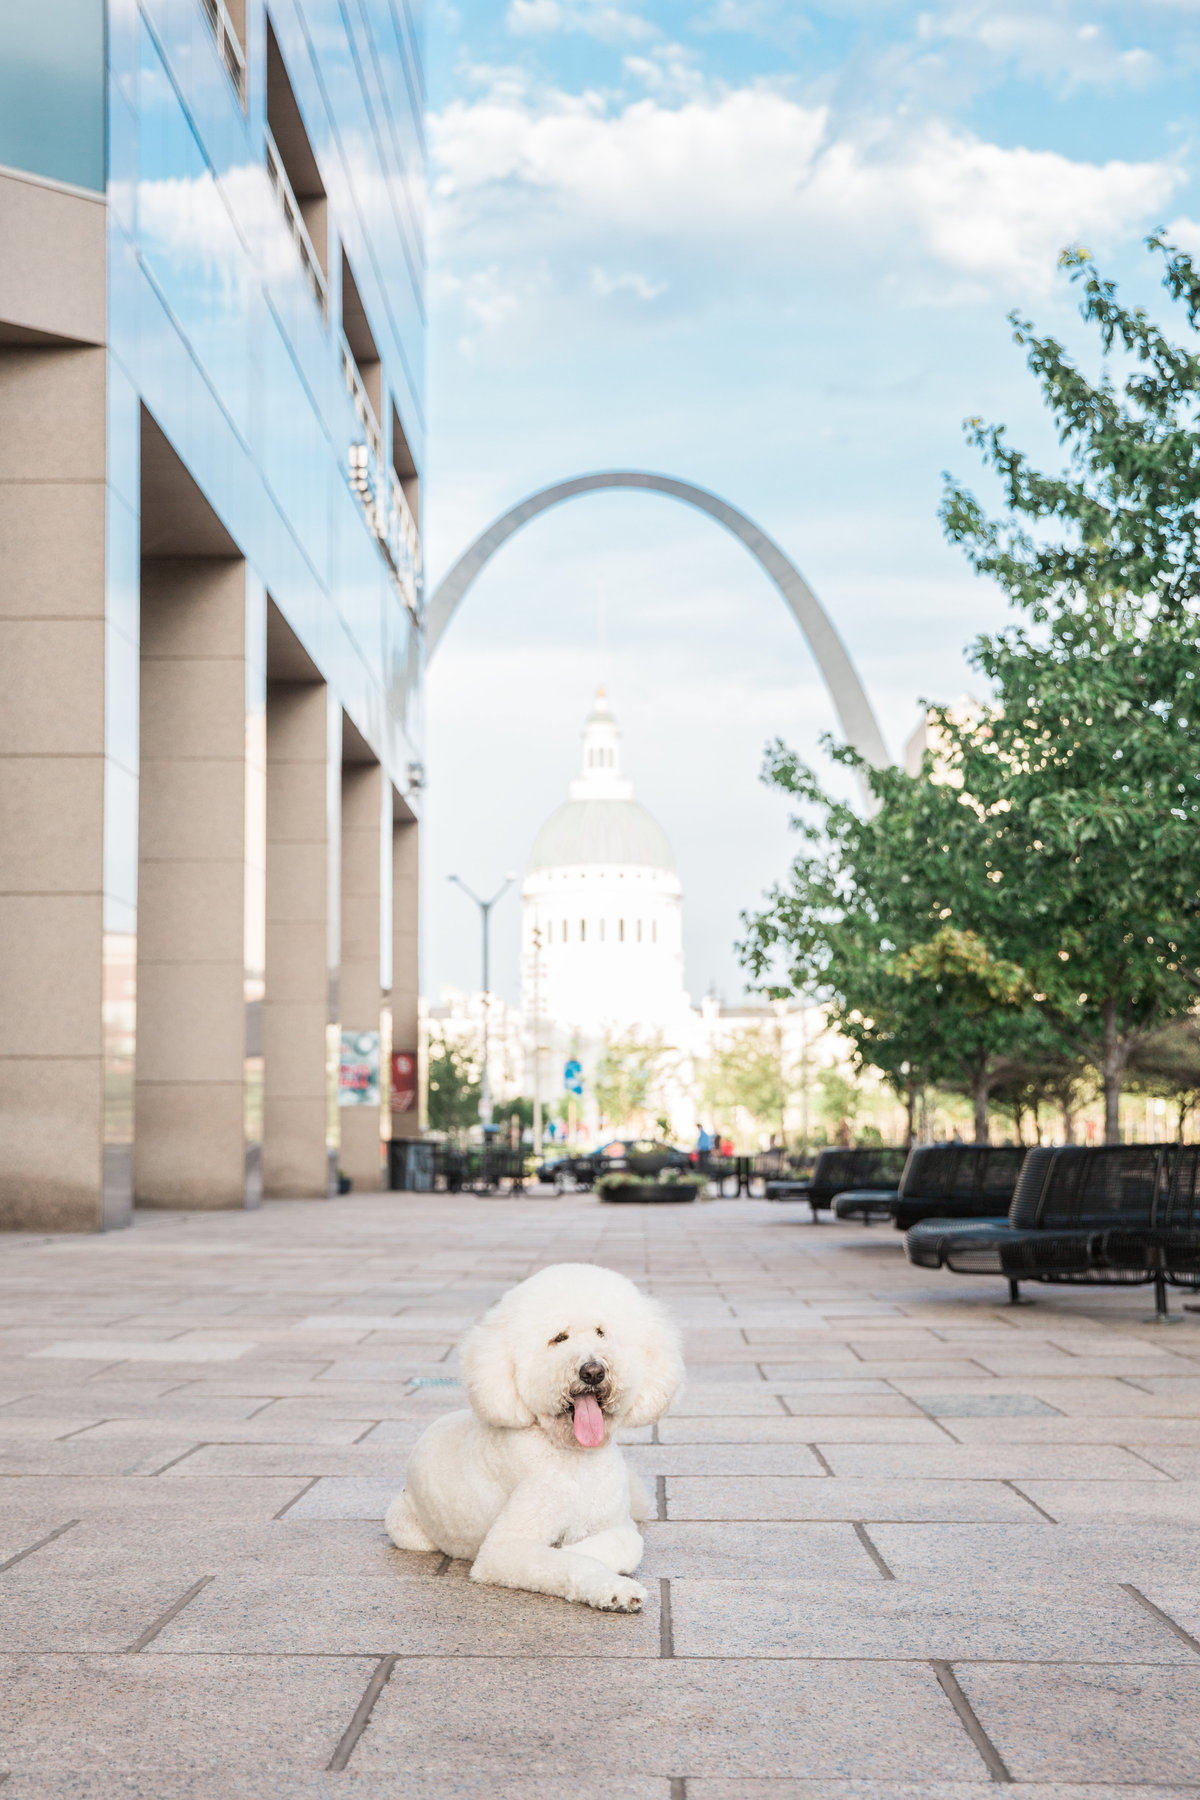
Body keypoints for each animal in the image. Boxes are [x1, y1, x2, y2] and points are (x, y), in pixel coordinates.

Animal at [385, 1267, 683, 1620]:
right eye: (559, 1338)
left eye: (601, 1333)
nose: (593, 1371)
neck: (573, 1456)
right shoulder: (504, 1550)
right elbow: (567, 1561)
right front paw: (614, 1589)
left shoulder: (617, 1526)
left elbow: (620, 1545)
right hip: (406, 1527)